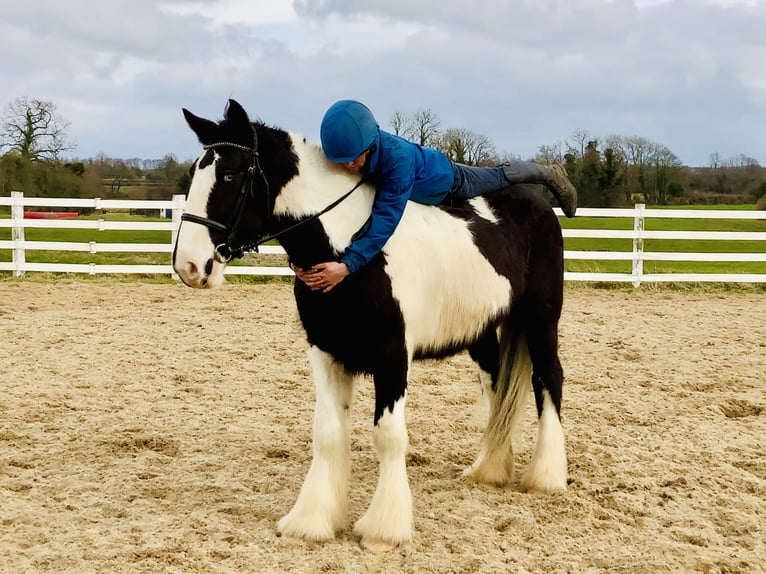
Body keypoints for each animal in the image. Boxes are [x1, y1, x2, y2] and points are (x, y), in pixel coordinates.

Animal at [174, 100, 568, 552]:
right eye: (195, 171)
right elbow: (328, 433)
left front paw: (384, 528)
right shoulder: (325, 352)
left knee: (548, 380)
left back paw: (546, 476)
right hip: (483, 333)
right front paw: (311, 521)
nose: (189, 266)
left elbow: (389, 435)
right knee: (498, 386)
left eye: (230, 174)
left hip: (540, 320)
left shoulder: (392, 357)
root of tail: (541, 209)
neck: (350, 249)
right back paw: (489, 468)